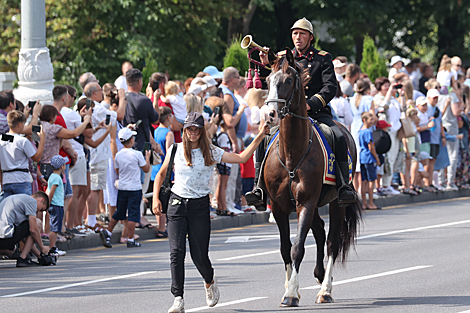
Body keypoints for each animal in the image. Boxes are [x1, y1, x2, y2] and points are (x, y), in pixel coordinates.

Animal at [258, 50, 362, 306]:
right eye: (267, 81)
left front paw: (291, 294)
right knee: (320, 231)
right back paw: (319, 274)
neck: (292, 153)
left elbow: (297, 247)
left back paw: (325, 289)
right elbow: (285, 248)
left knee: (332, 242)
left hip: (335, 203)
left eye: (287, 81)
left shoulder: (306, 202)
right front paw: (289, 288)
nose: (269, 115)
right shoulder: (279, 206)